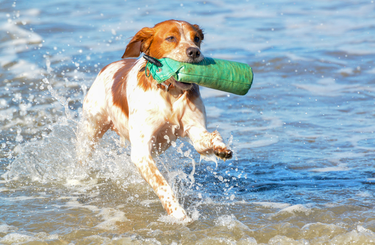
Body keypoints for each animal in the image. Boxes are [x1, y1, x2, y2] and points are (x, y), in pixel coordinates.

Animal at [77, 19, 232, 222]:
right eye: (170, 38)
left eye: (196, 38)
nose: (194, 52)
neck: (170, 92)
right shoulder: (141, 152)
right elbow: (162, 184)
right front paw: (177, 213)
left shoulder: (195, 128)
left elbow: (207, 139)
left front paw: (221, 147)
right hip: (91, 129)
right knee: (82, 156)